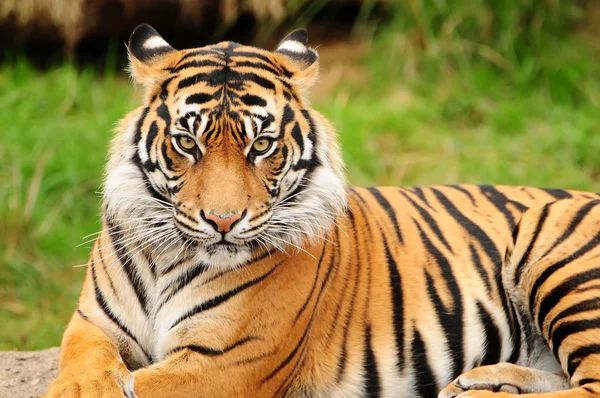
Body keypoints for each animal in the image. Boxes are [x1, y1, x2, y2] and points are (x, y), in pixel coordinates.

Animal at [44, 24, 600, 398]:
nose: (222, 222)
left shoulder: (226, 363)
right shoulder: (92, 324)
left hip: (556, 257)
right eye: (187, 143)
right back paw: (482, 384)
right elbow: (84, 365)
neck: (169, 258)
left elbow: (142, 385)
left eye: (261, 146)